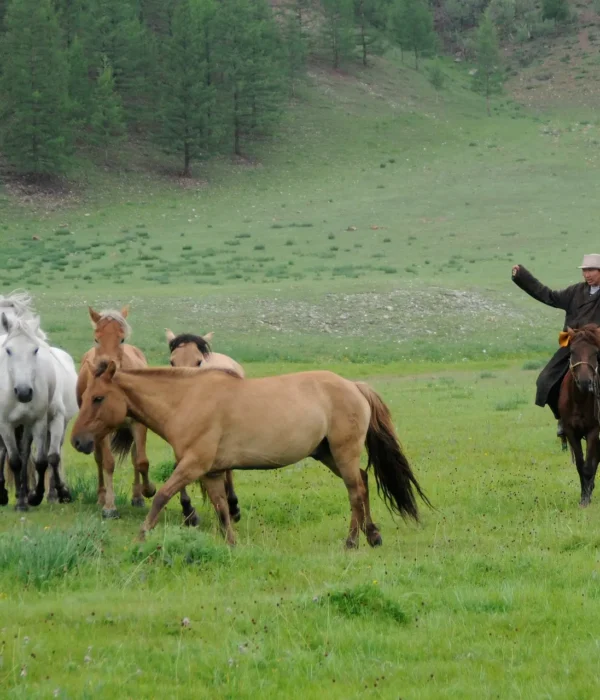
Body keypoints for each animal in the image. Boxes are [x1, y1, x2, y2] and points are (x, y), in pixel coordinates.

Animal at [0, 315, 75, 510]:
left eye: (35, 350)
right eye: (8, 350)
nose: (24, 392)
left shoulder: (42, 421)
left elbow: (45, 460)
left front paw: (36, 496)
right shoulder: (5, 425)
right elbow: (15, 461)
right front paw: (22, 502)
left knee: (32, 453)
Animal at [71, 363, 431, 548]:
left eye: (98, 398)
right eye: (85, 396)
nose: (77, 441)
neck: (186, 400)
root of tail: (354, 386)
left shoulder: (192, 466)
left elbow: (161, 496)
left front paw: (142, 537)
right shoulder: (211, 472)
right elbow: (221, 507)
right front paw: (231, 543)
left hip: (343, 453)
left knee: (355, 491)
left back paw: (352, 541)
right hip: (328, 454)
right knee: (364, 483)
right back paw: (373, 535)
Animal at [76, 306, 156, 518]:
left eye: (121, 339)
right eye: (96, 339)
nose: (105, 365)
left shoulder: (138, 424)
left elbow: (141, 461)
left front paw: (146, 491)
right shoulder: (100, 426)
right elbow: (108, 463)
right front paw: (109, 506)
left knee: (135, 456)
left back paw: (137, 496)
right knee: (98, 459)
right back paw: (101, 496)